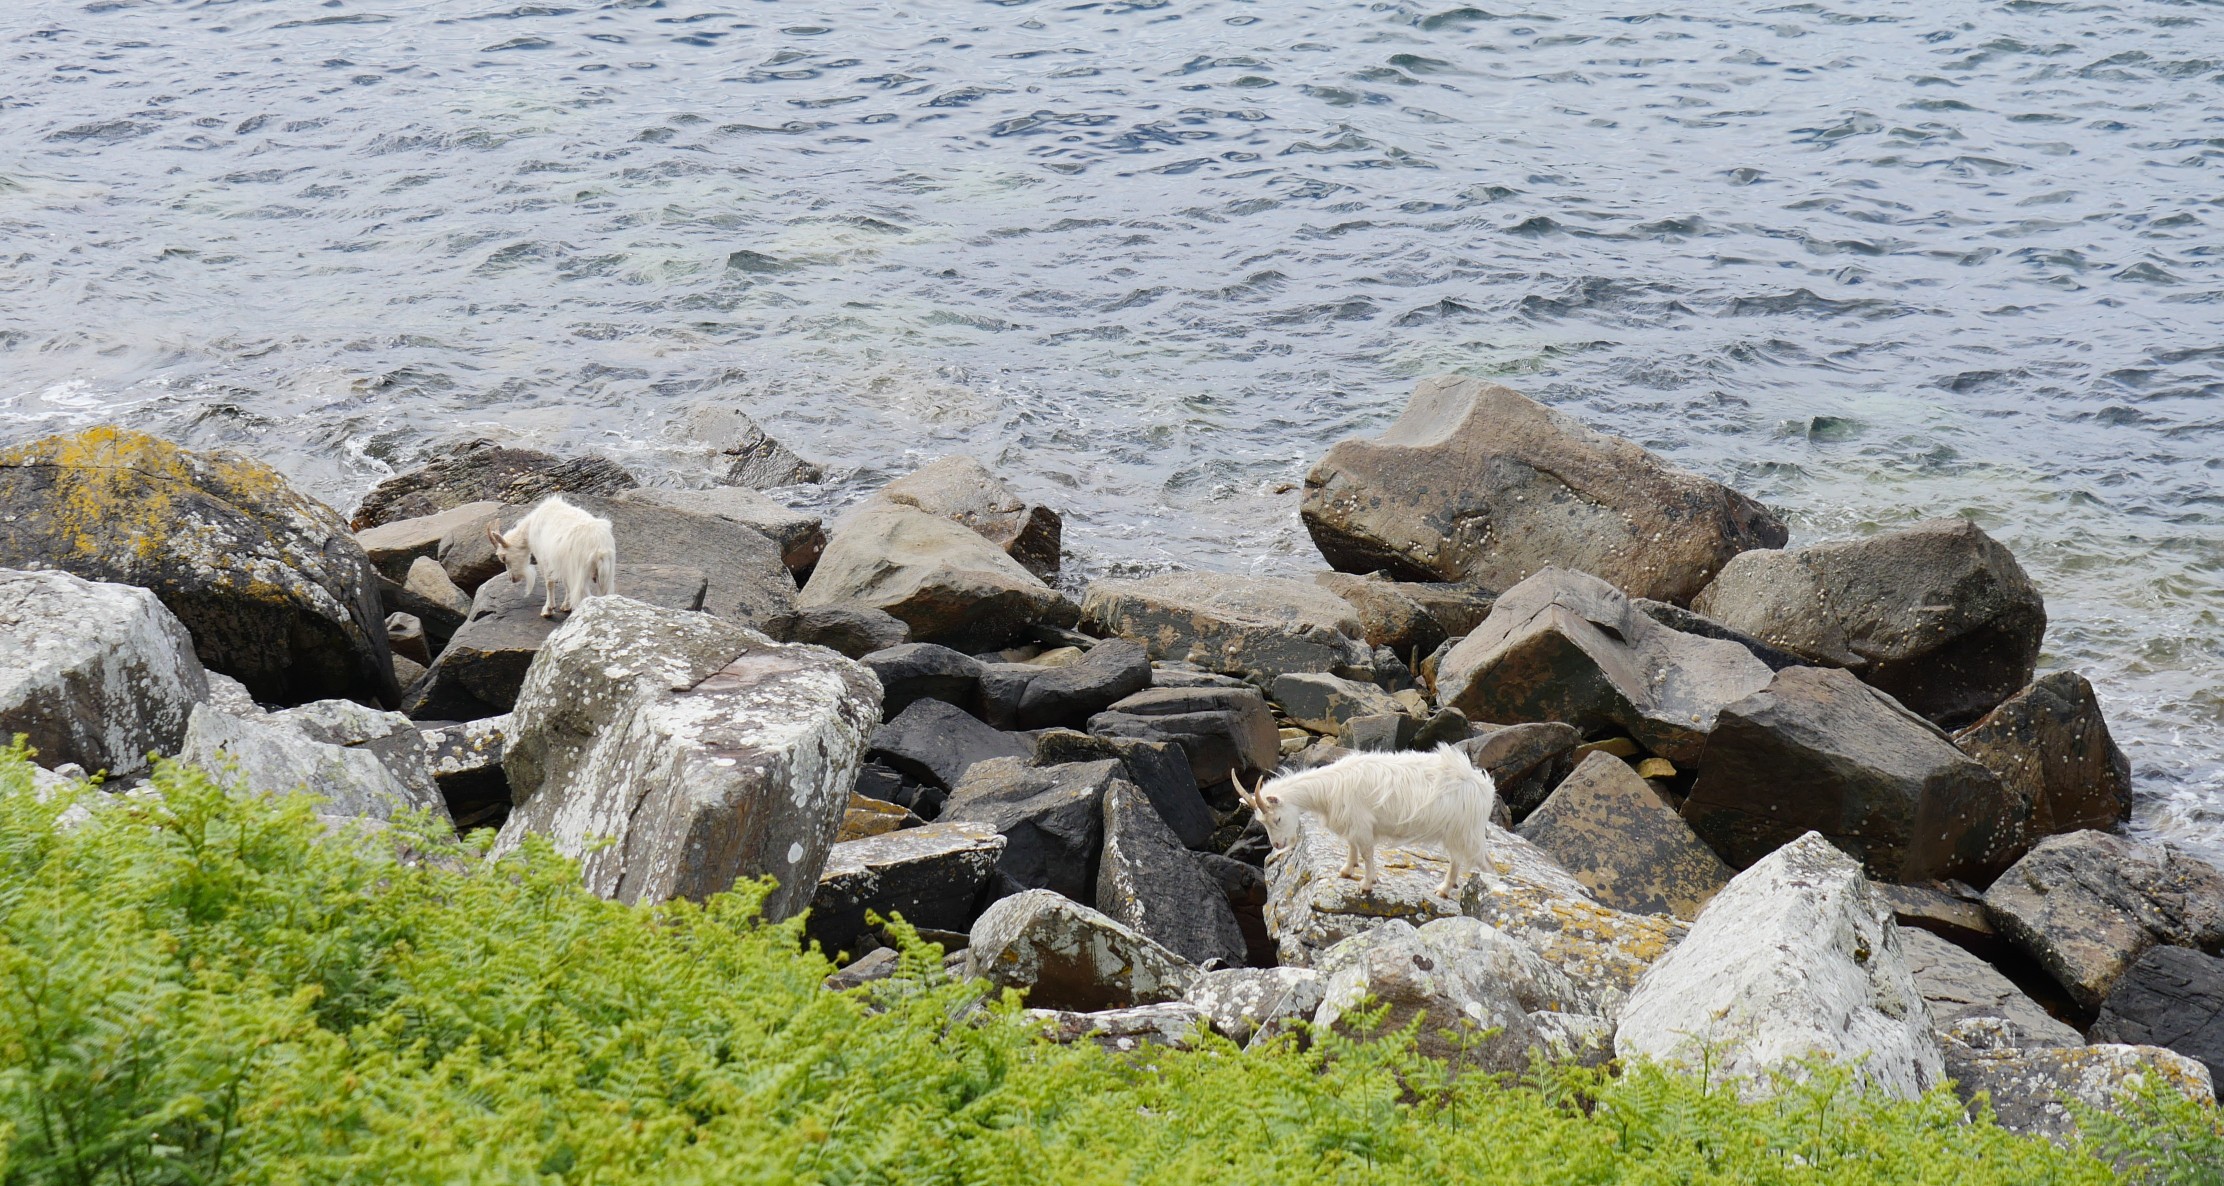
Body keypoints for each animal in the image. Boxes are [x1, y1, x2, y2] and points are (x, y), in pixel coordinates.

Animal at [484, 495, 617, 618]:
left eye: (503, 557)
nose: (512, 578)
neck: (530, 527)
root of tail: (599, 549)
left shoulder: (544, 559)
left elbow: (549, 583)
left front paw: (548, 609)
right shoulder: (563, 564)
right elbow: (566, 584)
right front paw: (565, 606)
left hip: (580, 574)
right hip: (606, 575)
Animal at [1237, 745, 1499, 897]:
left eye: (1278, 817)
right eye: (1262, 822)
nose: (1278, 845)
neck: (1329, 788)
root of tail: (1486, 787)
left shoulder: (1362, 824)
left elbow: (1367, 853)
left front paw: (1366, 883)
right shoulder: (1354, 825)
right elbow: (1352, 846)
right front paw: (1346, 870)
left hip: (1466, 831)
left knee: (1485, 863)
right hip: (1459, 832)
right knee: (1457, 860)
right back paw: (1447, 888)